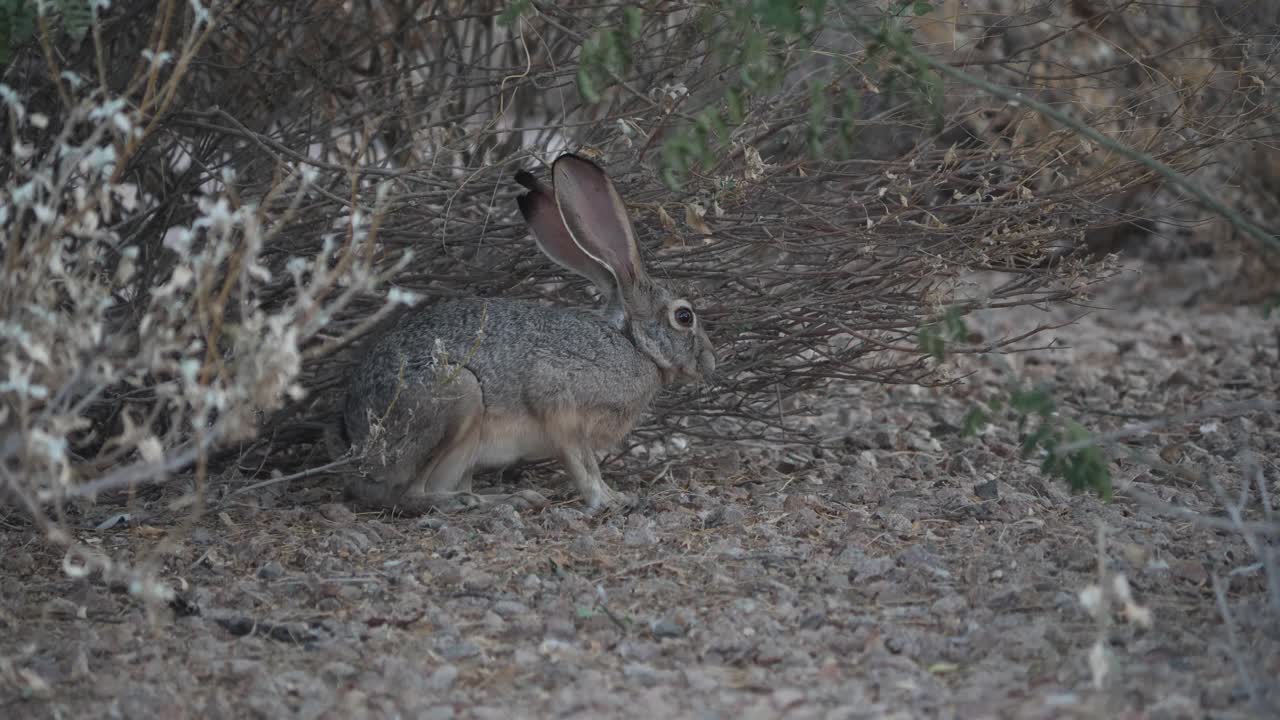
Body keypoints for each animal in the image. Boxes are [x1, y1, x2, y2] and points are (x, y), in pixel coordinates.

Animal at [335, 153, 716, 514]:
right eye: (684, 317)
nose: (710, 363)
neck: (634, 344)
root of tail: (357, 441)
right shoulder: (560, 403)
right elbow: (582, 464)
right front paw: (606, 500)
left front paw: (614, 495)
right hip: (458, 397)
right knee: (406, 494)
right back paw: (471, 503)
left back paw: (511, 499)